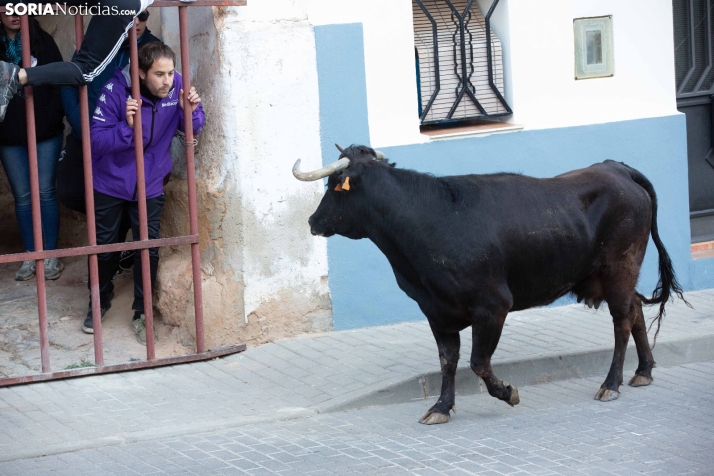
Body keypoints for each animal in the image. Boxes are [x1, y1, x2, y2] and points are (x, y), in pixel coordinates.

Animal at [290, 145, 684, 424]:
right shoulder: (436, 311)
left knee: (622, 320)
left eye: (334, 187)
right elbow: (448, 360)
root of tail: (616, 167)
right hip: (616, 274)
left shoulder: (492, 306)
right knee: (635, 310)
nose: (312, 221)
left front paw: (508, 392)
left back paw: (611, 384)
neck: (431, 219)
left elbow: (478, 362)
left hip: (620, 266)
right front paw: (441, 407)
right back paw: (643, 372)